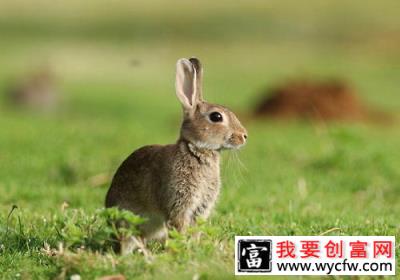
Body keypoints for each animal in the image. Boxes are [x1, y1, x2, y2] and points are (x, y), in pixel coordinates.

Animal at [104, 57, 247, 254]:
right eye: (216, 117)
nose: (244, 136)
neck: (196, 150)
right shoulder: (178, 203)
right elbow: (179, 227)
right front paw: (182, 248)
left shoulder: (200, 208)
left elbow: (195, 230)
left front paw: (193, 247)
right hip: (127, 221)